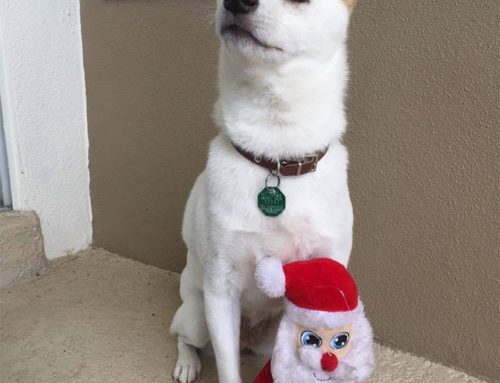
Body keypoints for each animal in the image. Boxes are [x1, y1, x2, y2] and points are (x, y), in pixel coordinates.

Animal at [171, 1, 356, 382]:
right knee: (182, 334)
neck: (277, 159)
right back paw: (187, 362)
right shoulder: (220, 291)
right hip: (198, 316)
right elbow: (227, 368)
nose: (236, 3)